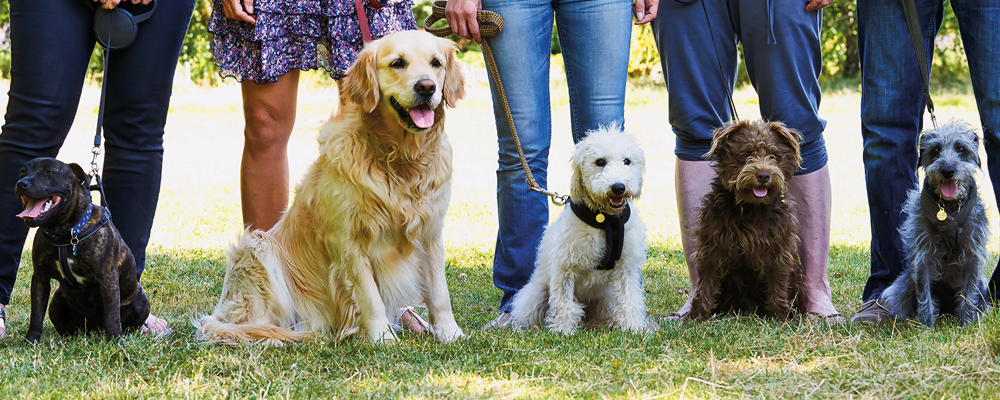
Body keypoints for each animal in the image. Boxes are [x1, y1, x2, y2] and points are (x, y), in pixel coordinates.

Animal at [15, 158, 148, 342]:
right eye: (22, 172)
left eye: (50, 172)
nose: (22, 183)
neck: (67, 233)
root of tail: (95, 329)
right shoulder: (40, 277)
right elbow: (36, 313)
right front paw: (31, 340)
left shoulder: (108, 278)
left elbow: (112, 315)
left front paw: (115, 342)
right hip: (56, 302)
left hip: (142, 301)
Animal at [195, 30, 468, 344]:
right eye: (398, 63)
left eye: (436, 63)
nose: (426, 87)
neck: (400, 158)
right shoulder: (348, 241)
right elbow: (370, 297)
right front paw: (382, 338)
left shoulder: (431, 232)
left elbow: (439, 293)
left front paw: (450, 333)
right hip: (256, 247)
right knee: (251, 323)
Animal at [512, 126, 652, 332]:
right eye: (600, 161)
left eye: (627, 161)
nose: (618, 187)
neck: (604, 221)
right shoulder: (564, 267)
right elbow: (564, 303)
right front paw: (563, 330)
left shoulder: (626, 267)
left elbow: (629, 299)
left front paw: (633, 327)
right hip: (535, 296)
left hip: (606, 299)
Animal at [692, 119, 808, 322]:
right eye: (745, 153)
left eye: (774, 155)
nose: (763, 175)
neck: (751, 208)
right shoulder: (712, 246)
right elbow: (705, 283)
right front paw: (697, 316)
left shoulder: (779, 250)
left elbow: (778, 284)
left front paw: (780, 317)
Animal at [884, 122, 992, 328]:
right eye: (935, 150)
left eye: (961, 148)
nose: (948, 170)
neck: (949, 209)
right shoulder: (923, 256)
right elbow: (924, 293)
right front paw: (926, 326)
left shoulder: (973, 254)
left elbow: (969, 292)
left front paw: (966, 323)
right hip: (901, 286)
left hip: (984, 287)